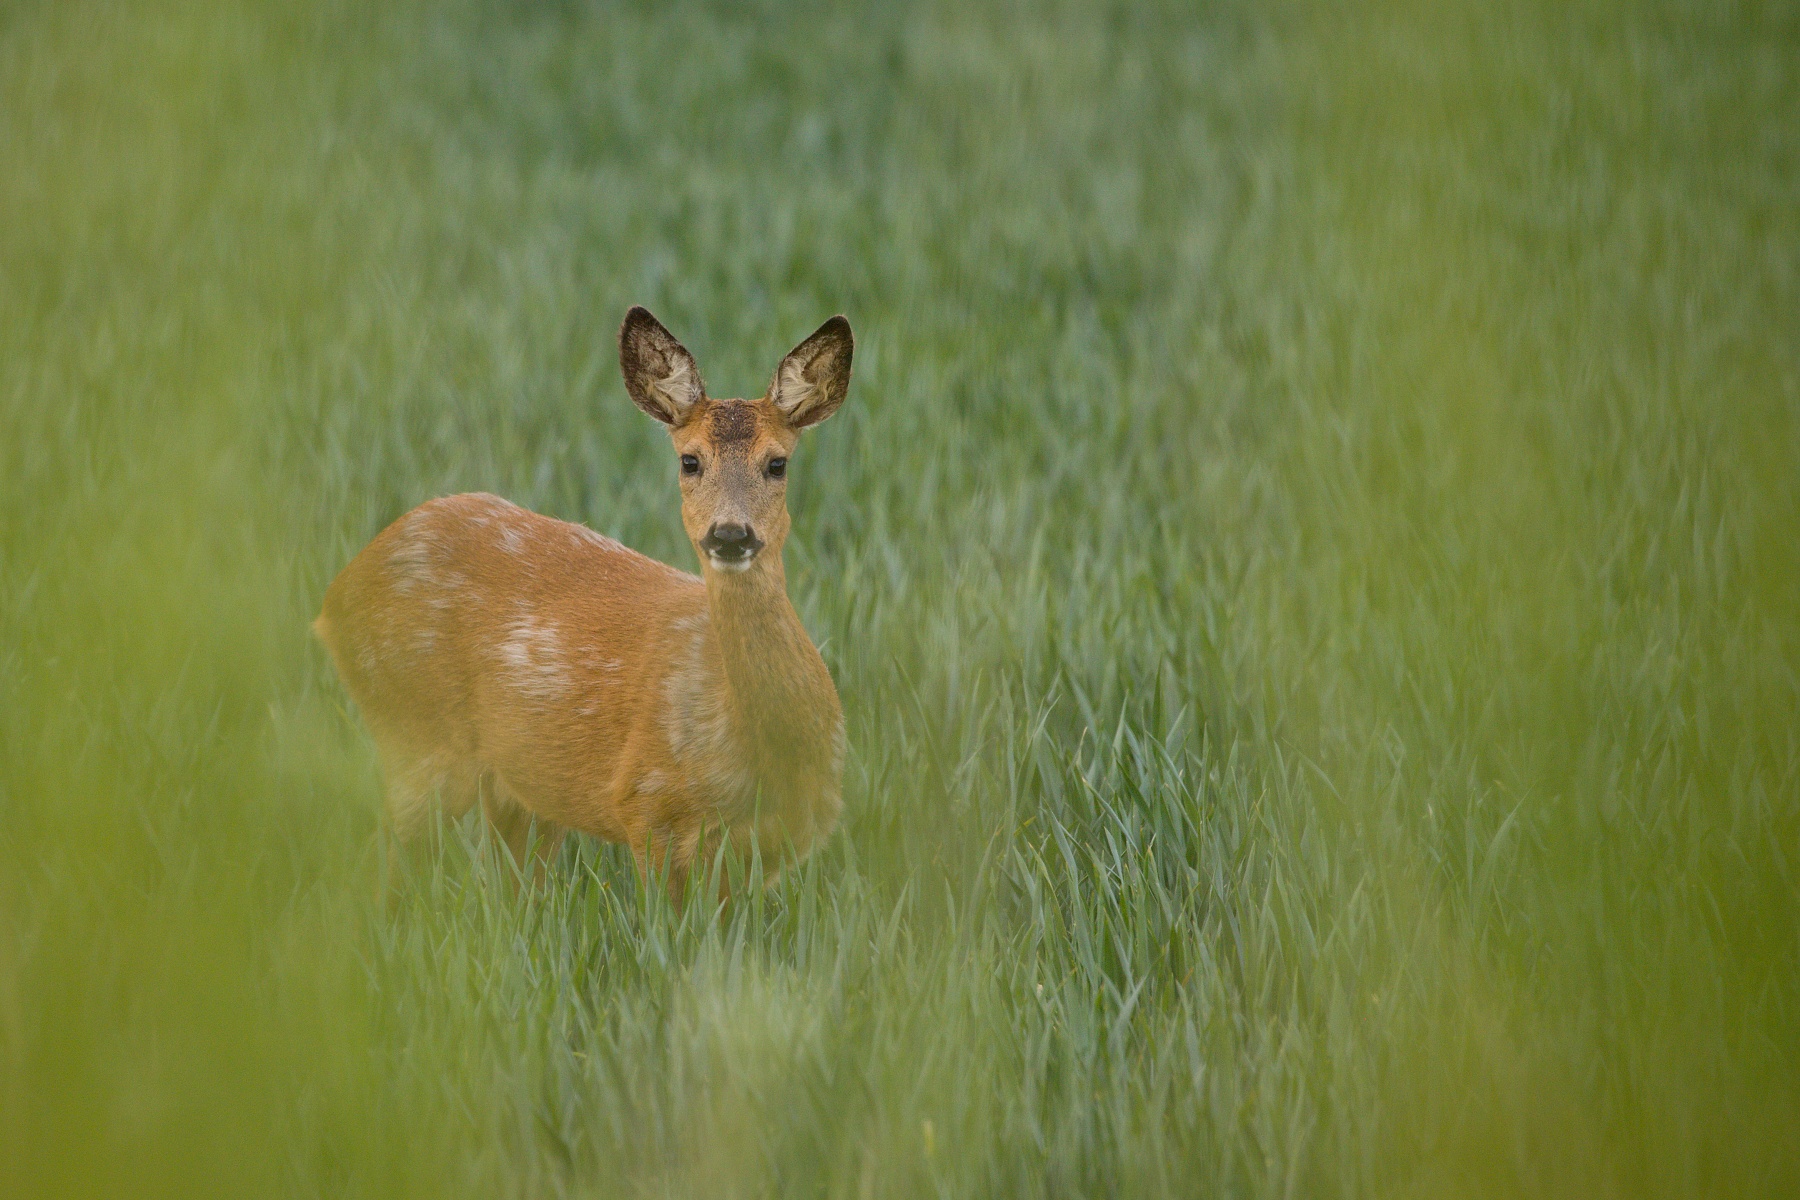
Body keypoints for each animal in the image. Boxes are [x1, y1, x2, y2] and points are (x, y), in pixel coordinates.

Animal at [316, 309, 849, 899]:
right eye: (689, 461)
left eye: (777, 464)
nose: (730, 534)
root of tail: (335, 597)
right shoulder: (647, 803)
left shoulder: (777, 846)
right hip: (414, 730)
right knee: (384, 866)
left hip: (519, 785)